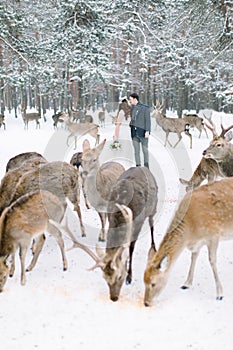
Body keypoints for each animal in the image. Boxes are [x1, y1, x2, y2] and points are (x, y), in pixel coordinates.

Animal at [143, 175, 233, 306]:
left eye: (153, 283)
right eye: (143, 281)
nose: (146, 303)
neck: (190, 230)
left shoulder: (214, 234)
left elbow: (212, 261)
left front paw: (220, 294)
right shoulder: (197, 243)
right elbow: (193, 257)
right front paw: (187, 283)